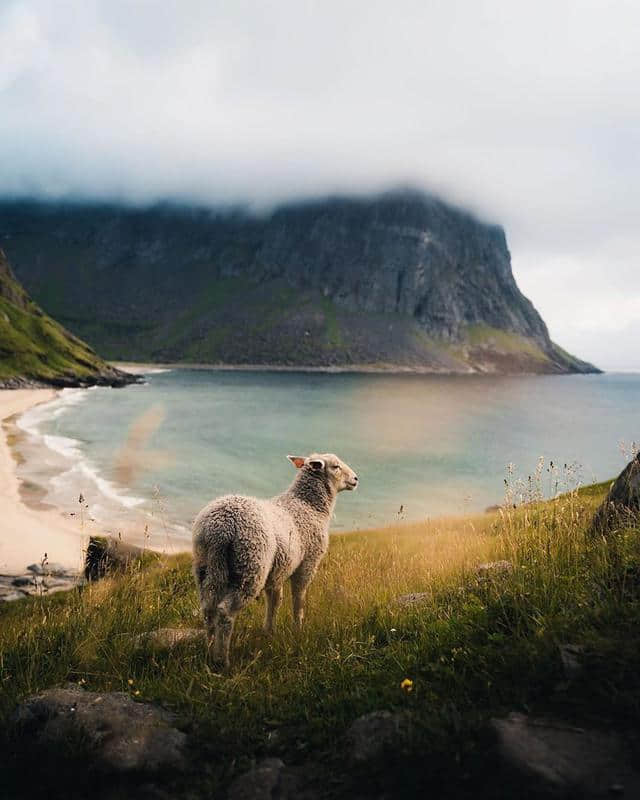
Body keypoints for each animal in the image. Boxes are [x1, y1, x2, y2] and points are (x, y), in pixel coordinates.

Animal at [192, 450, 358, 668]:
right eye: (336, 466)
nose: (355, 479)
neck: (308, 506)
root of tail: (219, 528)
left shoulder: (278, 570)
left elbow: (274, 601)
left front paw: (269, 631)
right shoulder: (307, 564)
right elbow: (298, 599)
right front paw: (298, 628)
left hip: (207, 567)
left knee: (208, 609)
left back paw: (210, 653)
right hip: (250, 565)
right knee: (225, 612)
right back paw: (224, 660)